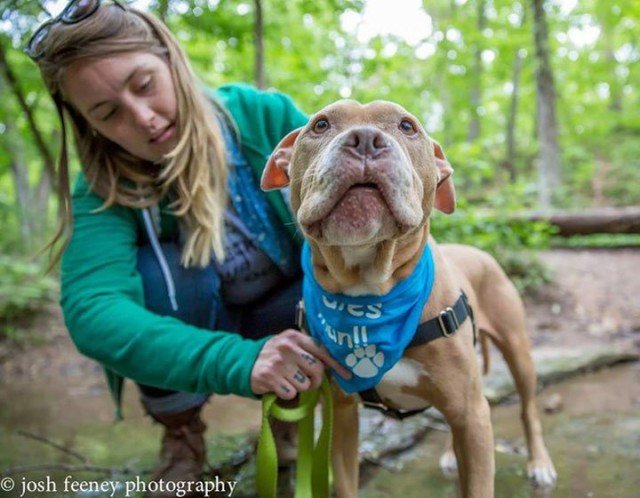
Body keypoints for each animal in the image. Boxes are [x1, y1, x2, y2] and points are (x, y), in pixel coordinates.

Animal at [260, 101, 556, 498]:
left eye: (407, 126)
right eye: (320, 125)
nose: (365, 140)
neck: (370, 291)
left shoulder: (474, 415)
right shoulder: (343, 414)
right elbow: (347, 482)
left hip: (517, 351)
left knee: (527, 409)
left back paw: (539, 462)